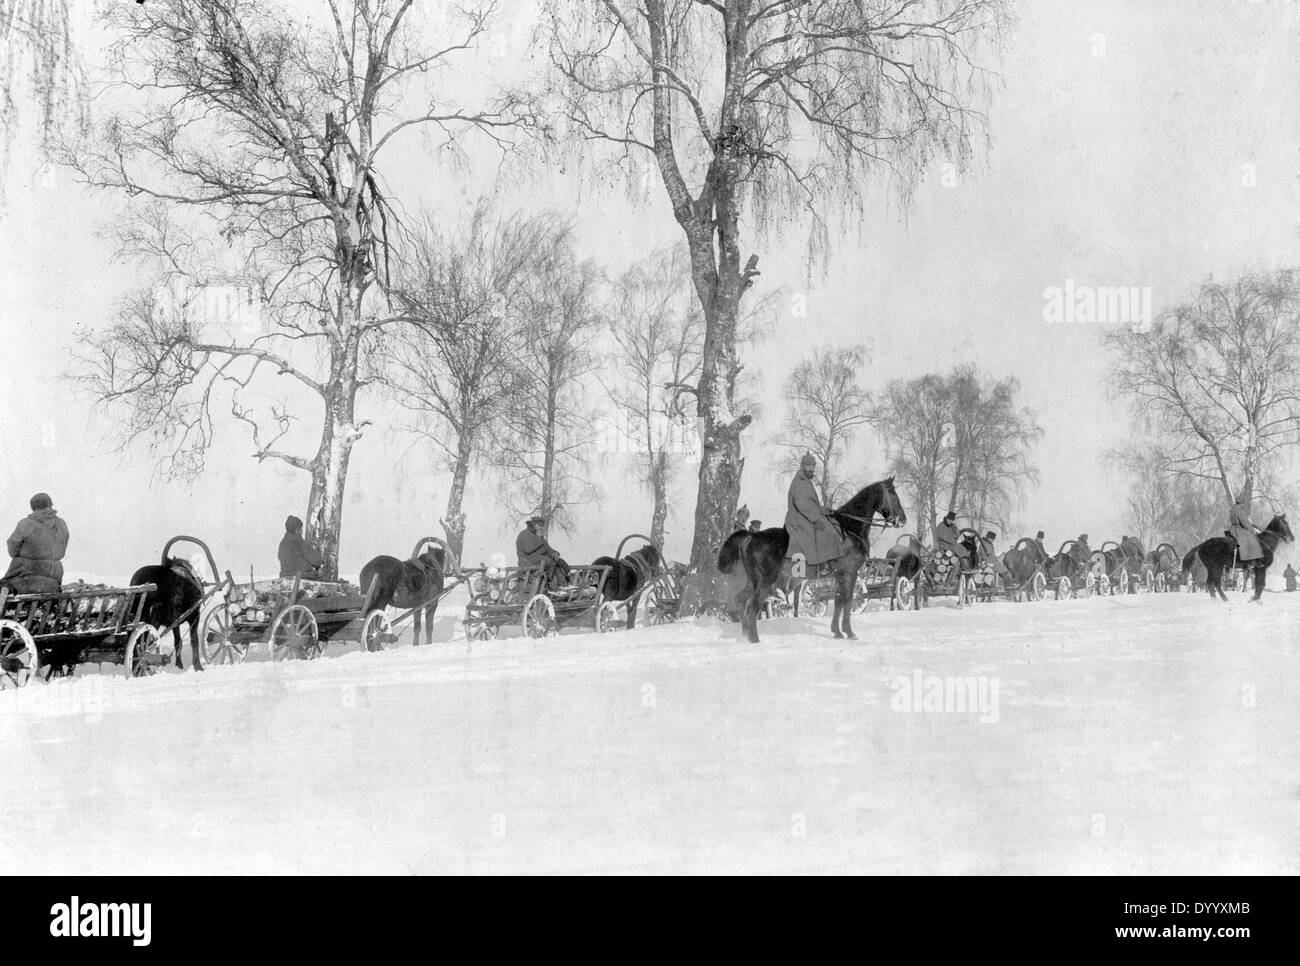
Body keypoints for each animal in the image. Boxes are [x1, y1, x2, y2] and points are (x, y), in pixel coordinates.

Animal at [717, 475, 909, 642]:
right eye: (893, 493)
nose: (902, 519)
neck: (849, 529)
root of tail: (751, 536)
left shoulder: (839, 575)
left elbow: (838, 601)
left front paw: (837, 632)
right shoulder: (850, 572)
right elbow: (848, 599)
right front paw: (849, 632)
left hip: (753, 581)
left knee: (740, 600)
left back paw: (745, 633)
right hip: (765, 582)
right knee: (753, 607)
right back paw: (754, 639)